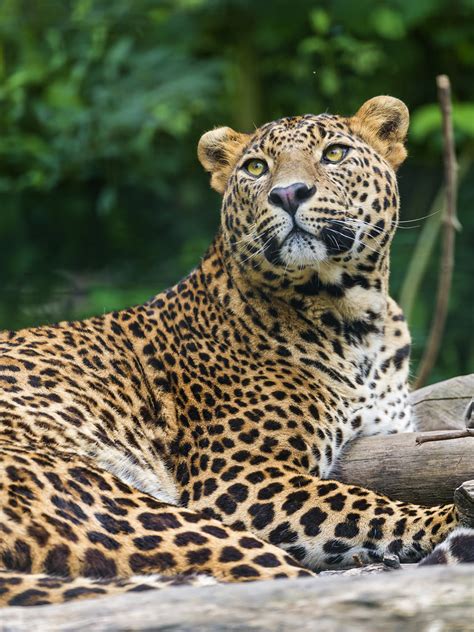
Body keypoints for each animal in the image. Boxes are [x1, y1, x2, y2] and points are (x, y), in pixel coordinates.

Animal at [0, 95, 474, 608]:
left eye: (334, 154)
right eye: (256, 167)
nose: (289, 194)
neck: (354, 318)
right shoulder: (238, 476)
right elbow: (362, 503)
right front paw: (447, 517)